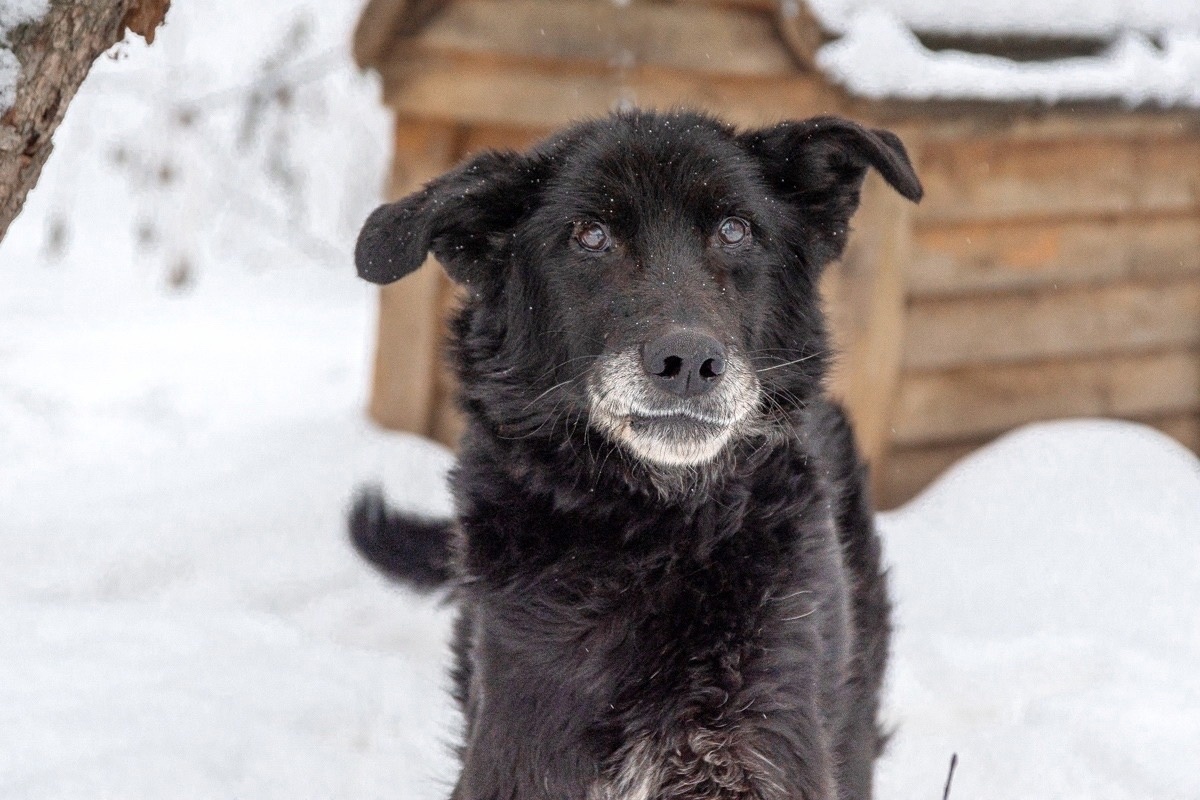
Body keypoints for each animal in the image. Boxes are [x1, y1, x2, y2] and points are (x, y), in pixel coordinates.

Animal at [348, 109, 916, 796]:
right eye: (591, 235)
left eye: (734, 230)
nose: (689, 362)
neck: (652, 534)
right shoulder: (519, 748)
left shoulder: (765, 751)